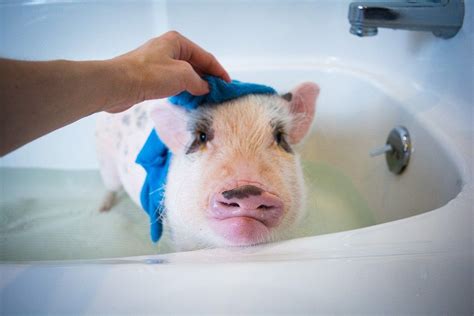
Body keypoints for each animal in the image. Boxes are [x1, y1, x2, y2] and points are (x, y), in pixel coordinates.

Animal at [95, 82, 320, 251]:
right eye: (201, 137)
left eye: (280, 137)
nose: (247, 190)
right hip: (106, 159)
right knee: (110, 186)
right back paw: (102, 210)